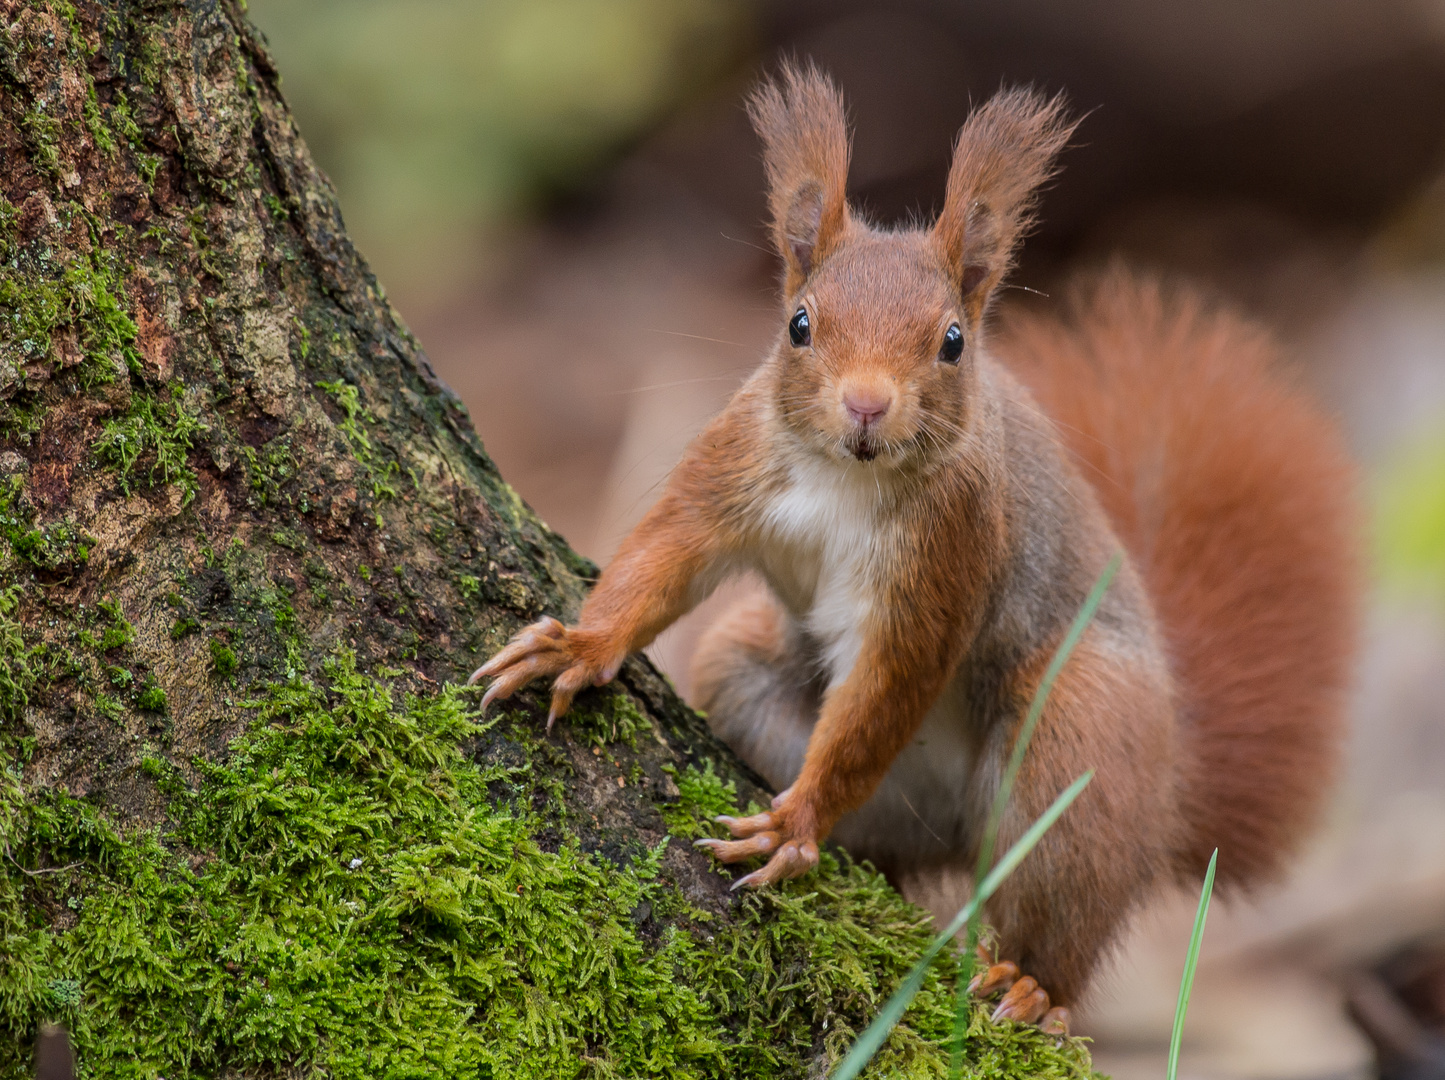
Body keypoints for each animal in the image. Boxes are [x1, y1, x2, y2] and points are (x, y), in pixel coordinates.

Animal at [468, 65, 1358, 1029]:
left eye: (953, 342)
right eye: (798, 324)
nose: (865, 404)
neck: (845, 479)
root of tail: (1171, 792)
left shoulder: (949, 552)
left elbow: (888, 687)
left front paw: (796, 823)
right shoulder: (730, 466)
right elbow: (661, 558)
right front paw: (578, 646)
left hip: (1084, 733)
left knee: (1061, 910)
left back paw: (1028, 986)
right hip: (747, 675)